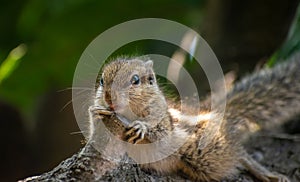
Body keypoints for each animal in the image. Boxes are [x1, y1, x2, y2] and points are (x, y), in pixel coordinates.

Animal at [88, 55, 300, 182]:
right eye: (102, 80)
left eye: (135, 80)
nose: (109, 98)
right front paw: (96, 110)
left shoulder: (164, 121)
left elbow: (160, 134)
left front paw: (141, 126)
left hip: (201, 152)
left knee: (239, 154)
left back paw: (266, 173)